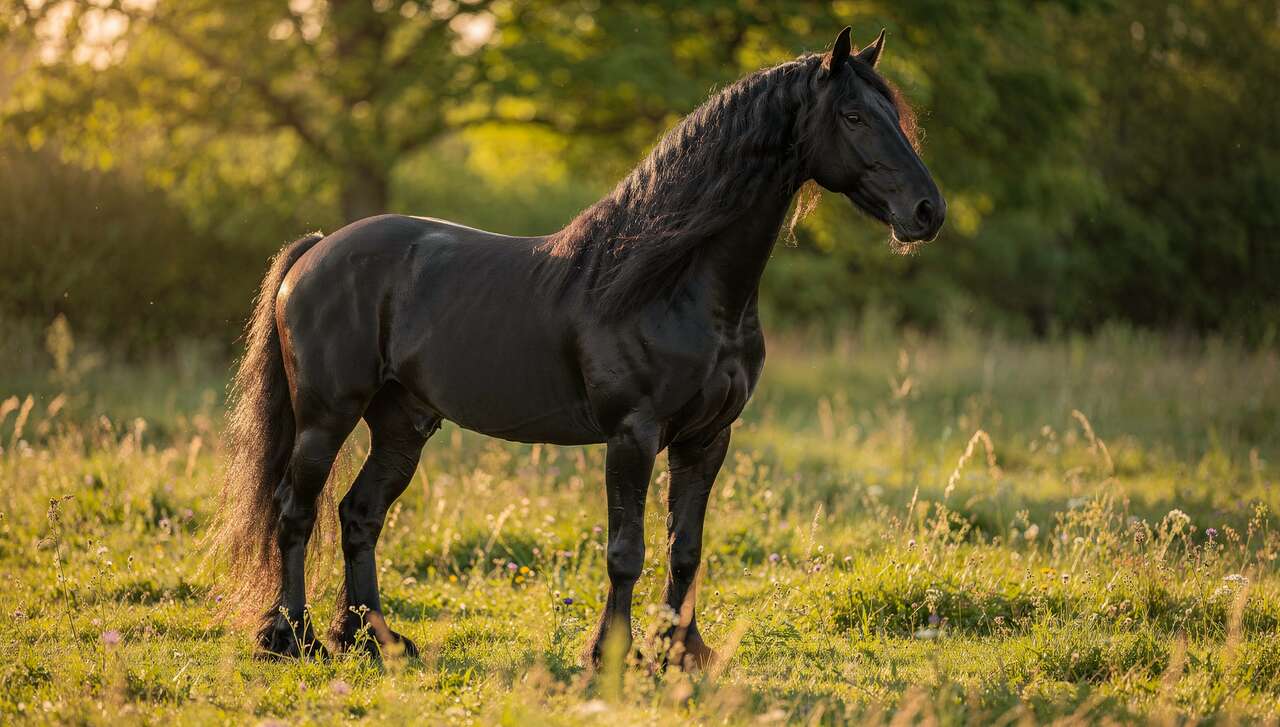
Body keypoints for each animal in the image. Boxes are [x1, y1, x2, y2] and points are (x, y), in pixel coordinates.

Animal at [208, 26, 945, 668]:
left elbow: (686, 547)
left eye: (894, 113)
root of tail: (317, 250)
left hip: (402, 422)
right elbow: (627, 549)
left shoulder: (708, 439)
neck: (674, 284)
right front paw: (610, 654)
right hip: (326, 416)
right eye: (853, 114)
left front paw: (680, 652)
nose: (928, 212)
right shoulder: (633, 434)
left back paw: (375, 640)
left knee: (358, 515)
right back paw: (289, 637)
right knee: (295, 511)